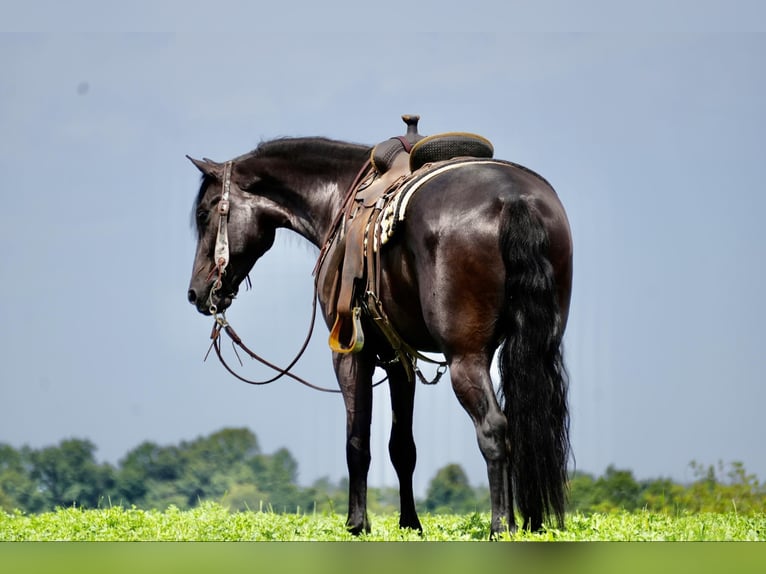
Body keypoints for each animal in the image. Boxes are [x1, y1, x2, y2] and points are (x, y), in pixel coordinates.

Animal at [186, 125, 573, 538]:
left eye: (204, 213)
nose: (196, 292)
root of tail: (513, 199)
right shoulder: (399, 359)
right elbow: (402, 447)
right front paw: (410, 524)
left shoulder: (351, 355)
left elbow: (358, 442)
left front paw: (357, 523)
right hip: (535, 347)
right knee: (530, 425)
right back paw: (532, 523)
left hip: (466, 358)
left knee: (494, 429)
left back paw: (501, 526)